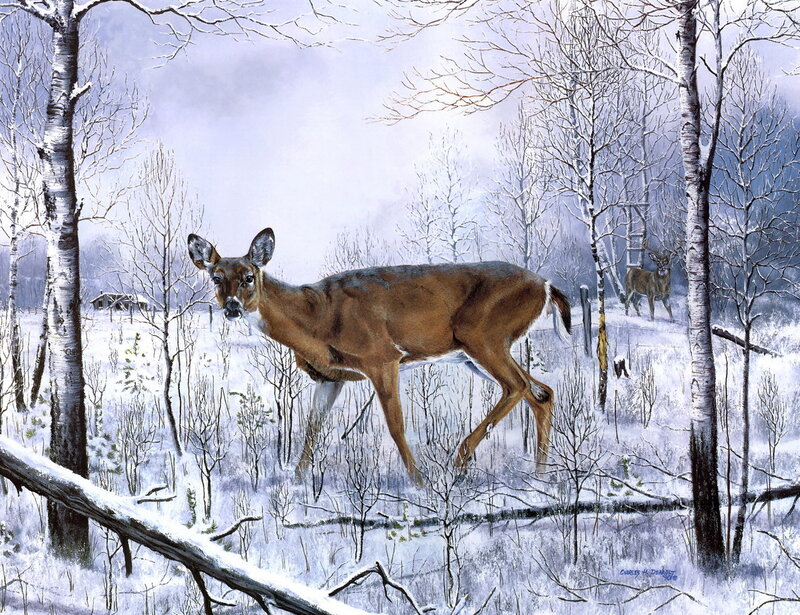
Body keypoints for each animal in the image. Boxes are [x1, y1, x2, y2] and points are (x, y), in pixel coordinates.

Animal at [188, 228, 572, 483]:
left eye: (249, 277)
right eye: (216, 277)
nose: (233, 308)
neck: (317, 316)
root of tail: (546, 285)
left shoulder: (382, 356)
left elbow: (396, 424)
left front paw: (419, 481)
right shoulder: (329, 377)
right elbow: (312, 427)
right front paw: (296, 482)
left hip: (484, 336)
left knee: (517, 387)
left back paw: (460, 460)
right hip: (474, 353)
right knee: (541, 393)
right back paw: (540, 475)